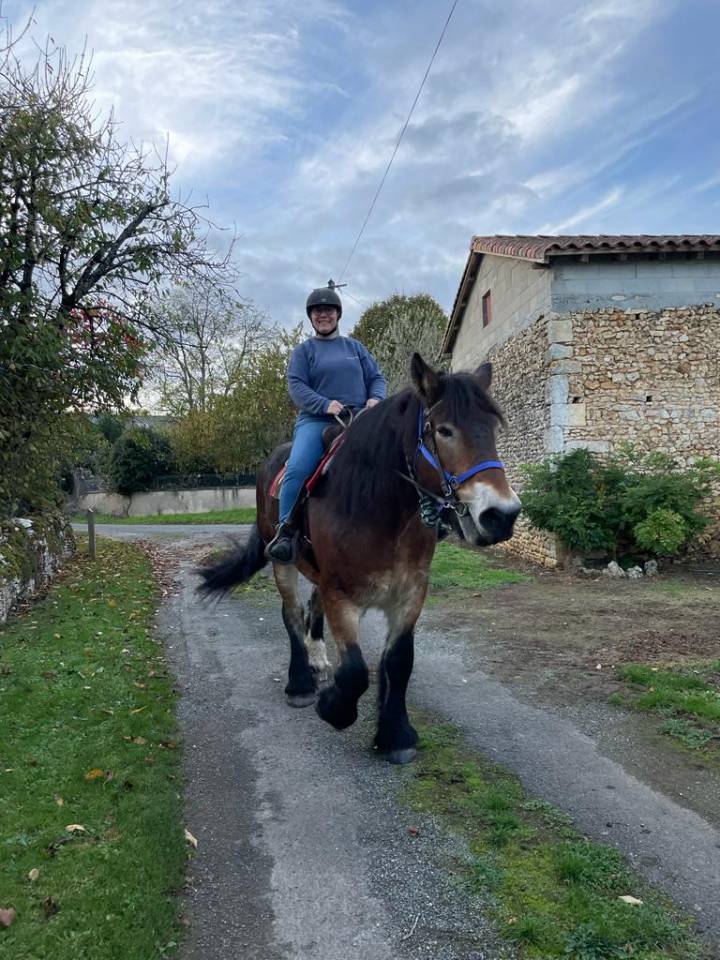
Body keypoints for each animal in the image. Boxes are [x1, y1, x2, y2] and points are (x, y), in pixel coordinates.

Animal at [197, 353, 521, 764]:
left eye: (492, 428)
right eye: (445, 430)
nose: (502, 515)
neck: (379, 510)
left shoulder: (410, 594)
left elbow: (399, 662)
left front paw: (395, 735)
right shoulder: (341, 594)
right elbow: (355, 670)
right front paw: (334, 708)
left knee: (311, 608)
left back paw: (318, 659)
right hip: (283, 563)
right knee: (291, 614)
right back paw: (300, 684)